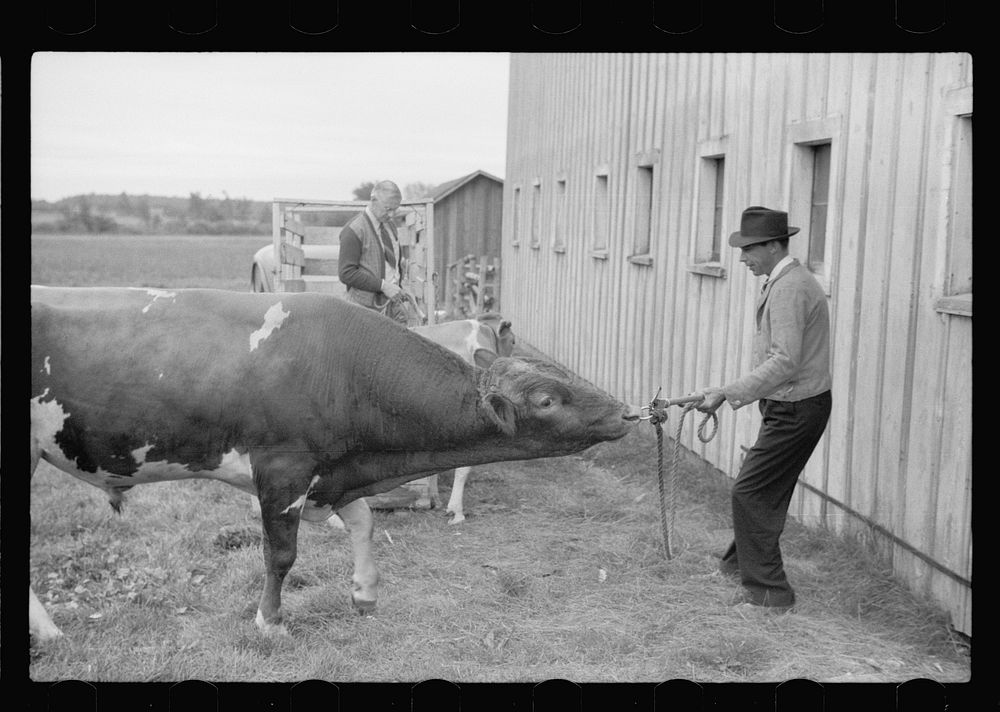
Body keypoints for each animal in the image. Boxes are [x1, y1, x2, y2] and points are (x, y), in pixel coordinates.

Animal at [31, 286, 640, 640]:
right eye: (547, 400)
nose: (625, 410)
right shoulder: (283, 470)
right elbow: (281, 555)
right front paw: (269, 621)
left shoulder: (334, 474)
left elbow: (365, 522)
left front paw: (364, 593)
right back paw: (51, 633)